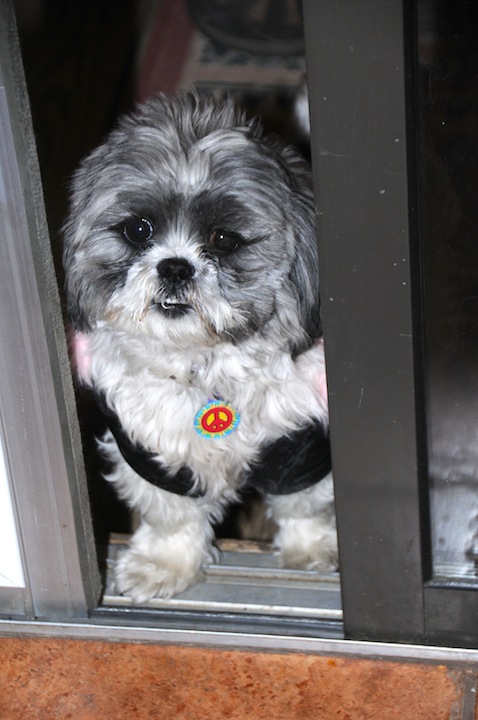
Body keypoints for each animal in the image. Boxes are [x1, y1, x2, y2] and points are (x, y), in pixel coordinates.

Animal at [63, 93, 338, 604]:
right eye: (139, 230)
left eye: (224, 239)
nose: (175, 266)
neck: (203, 366)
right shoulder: (150, 451)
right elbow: (172, 516)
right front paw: (163, 564)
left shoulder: (302, 445)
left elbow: (304, 505)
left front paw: (313, 549)